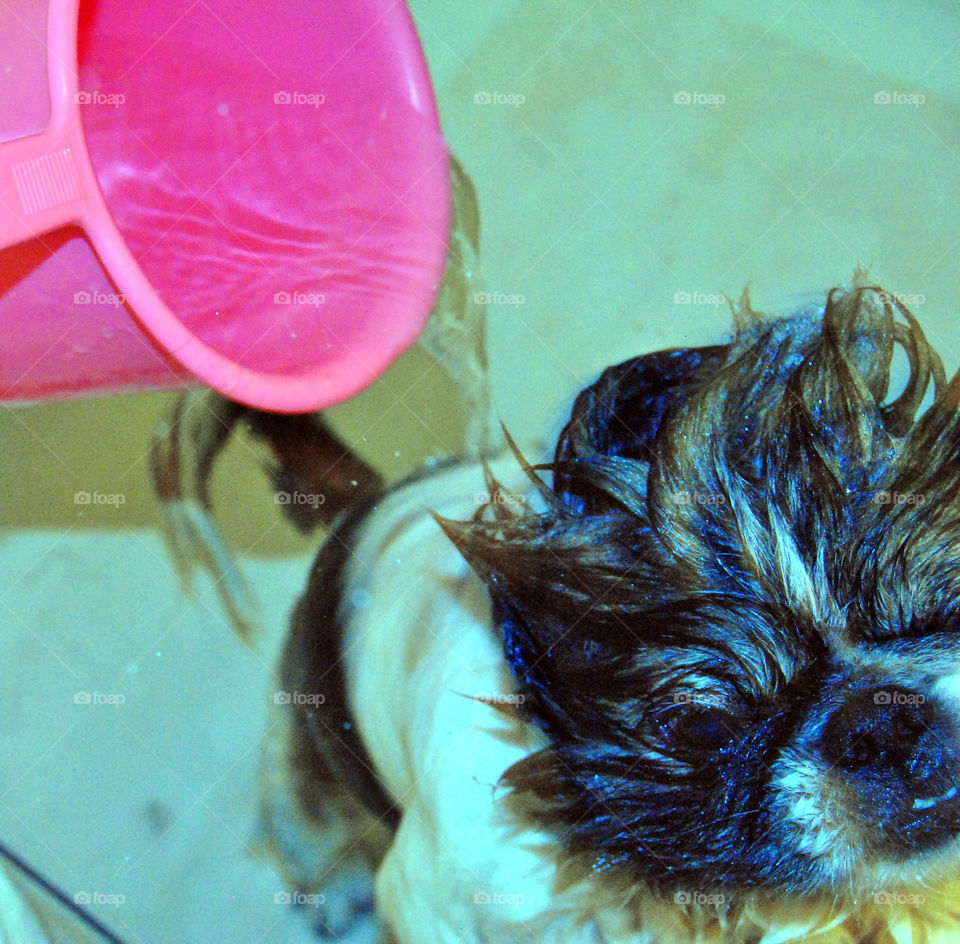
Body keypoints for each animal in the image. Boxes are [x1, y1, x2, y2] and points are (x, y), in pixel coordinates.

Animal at [154, 280, 960, 944]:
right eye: (700, 727)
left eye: (944, 608)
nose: (880, 723)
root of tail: (368, 501)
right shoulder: (444, 903)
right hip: (307, 783)